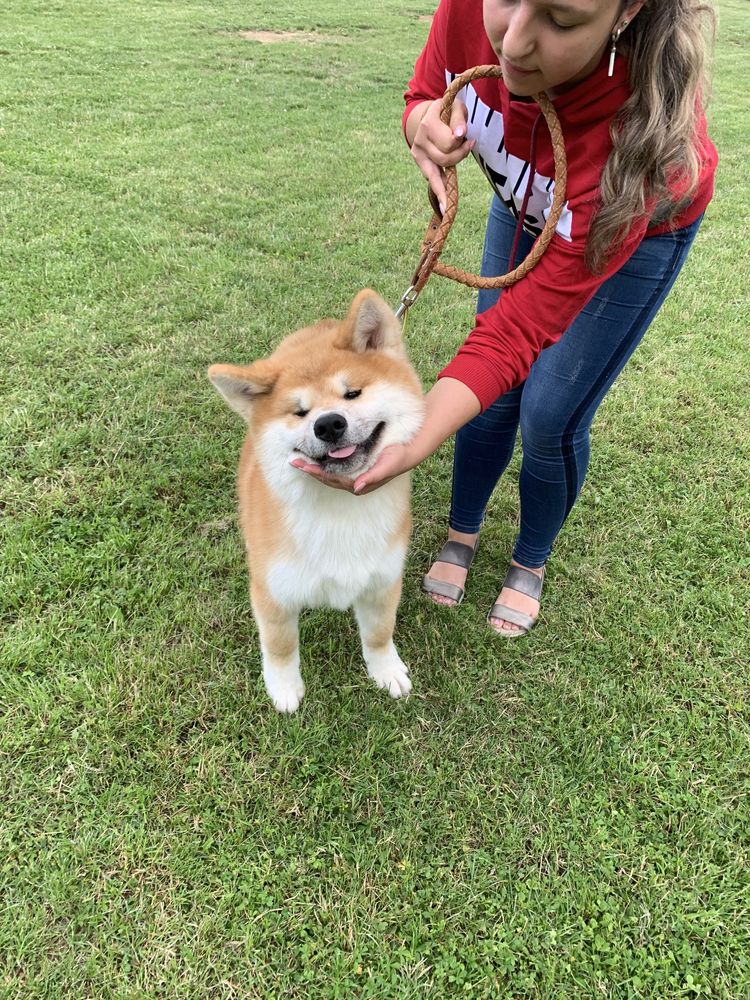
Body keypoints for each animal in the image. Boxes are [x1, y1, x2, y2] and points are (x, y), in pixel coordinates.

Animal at [209, 288, 426, 712]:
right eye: (300, 412)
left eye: (352, 392)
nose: (328, 424)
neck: (339, 507)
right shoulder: (273, 590)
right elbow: (279, 646)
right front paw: (283, 687)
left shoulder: (383, 580)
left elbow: (378, 634)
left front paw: (385, 670)